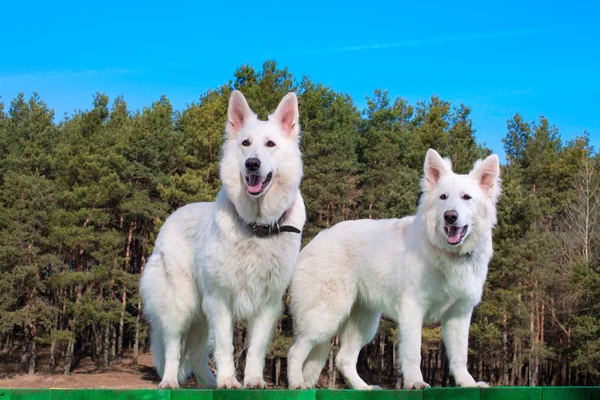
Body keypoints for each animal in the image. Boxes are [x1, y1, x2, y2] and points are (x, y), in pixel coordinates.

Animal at [141, 90, 304, 388]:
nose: (252, 164)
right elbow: (227, 346)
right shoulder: (220, 300)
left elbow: (256, 347)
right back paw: (169, 382)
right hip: (180, 308)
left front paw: (253, 380)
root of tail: (172, 216)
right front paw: (229, 380)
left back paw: (208, 384)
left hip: (201, 317)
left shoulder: (268, 303)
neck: (256, 226)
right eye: (246, 143)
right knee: (173, 348)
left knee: (196, 356)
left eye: (270, 144)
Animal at [286, 148, 502, 390]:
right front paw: (415, 382)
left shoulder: (459, 314)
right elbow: (413, 352)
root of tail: (314, 241)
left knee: (343, 359)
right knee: (294, 351)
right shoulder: (412, 309)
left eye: (466, 197)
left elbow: (459, 356)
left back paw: (363, 388)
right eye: (443, 197)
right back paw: (297, 384)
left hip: (364, 323)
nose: (450, 216)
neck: (447, 254)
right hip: (324, 318)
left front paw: (468, 384)